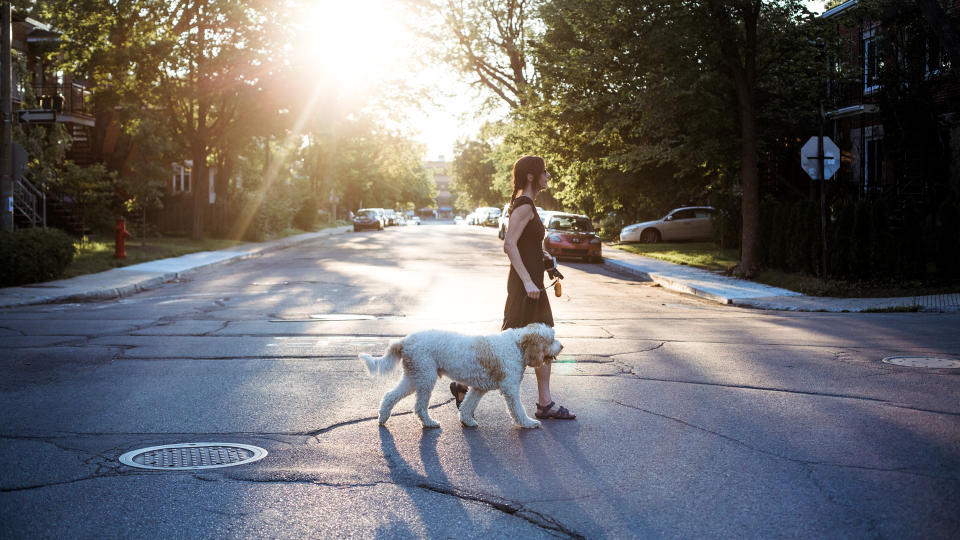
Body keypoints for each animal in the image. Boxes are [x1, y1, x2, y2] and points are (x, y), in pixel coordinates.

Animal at [360, 322, 564, 428]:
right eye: (551, 339)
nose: (562, 346)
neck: (517, 346)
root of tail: (405, 341)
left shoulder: (478, 389)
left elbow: (467, 404)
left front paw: (467, 420)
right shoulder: (511, 389)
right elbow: (518, 410)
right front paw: (528, 423)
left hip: (414, 377)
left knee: (390, 395)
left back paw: (383, 417)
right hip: (425, 379)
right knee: (419, 407)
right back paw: (429, 423)